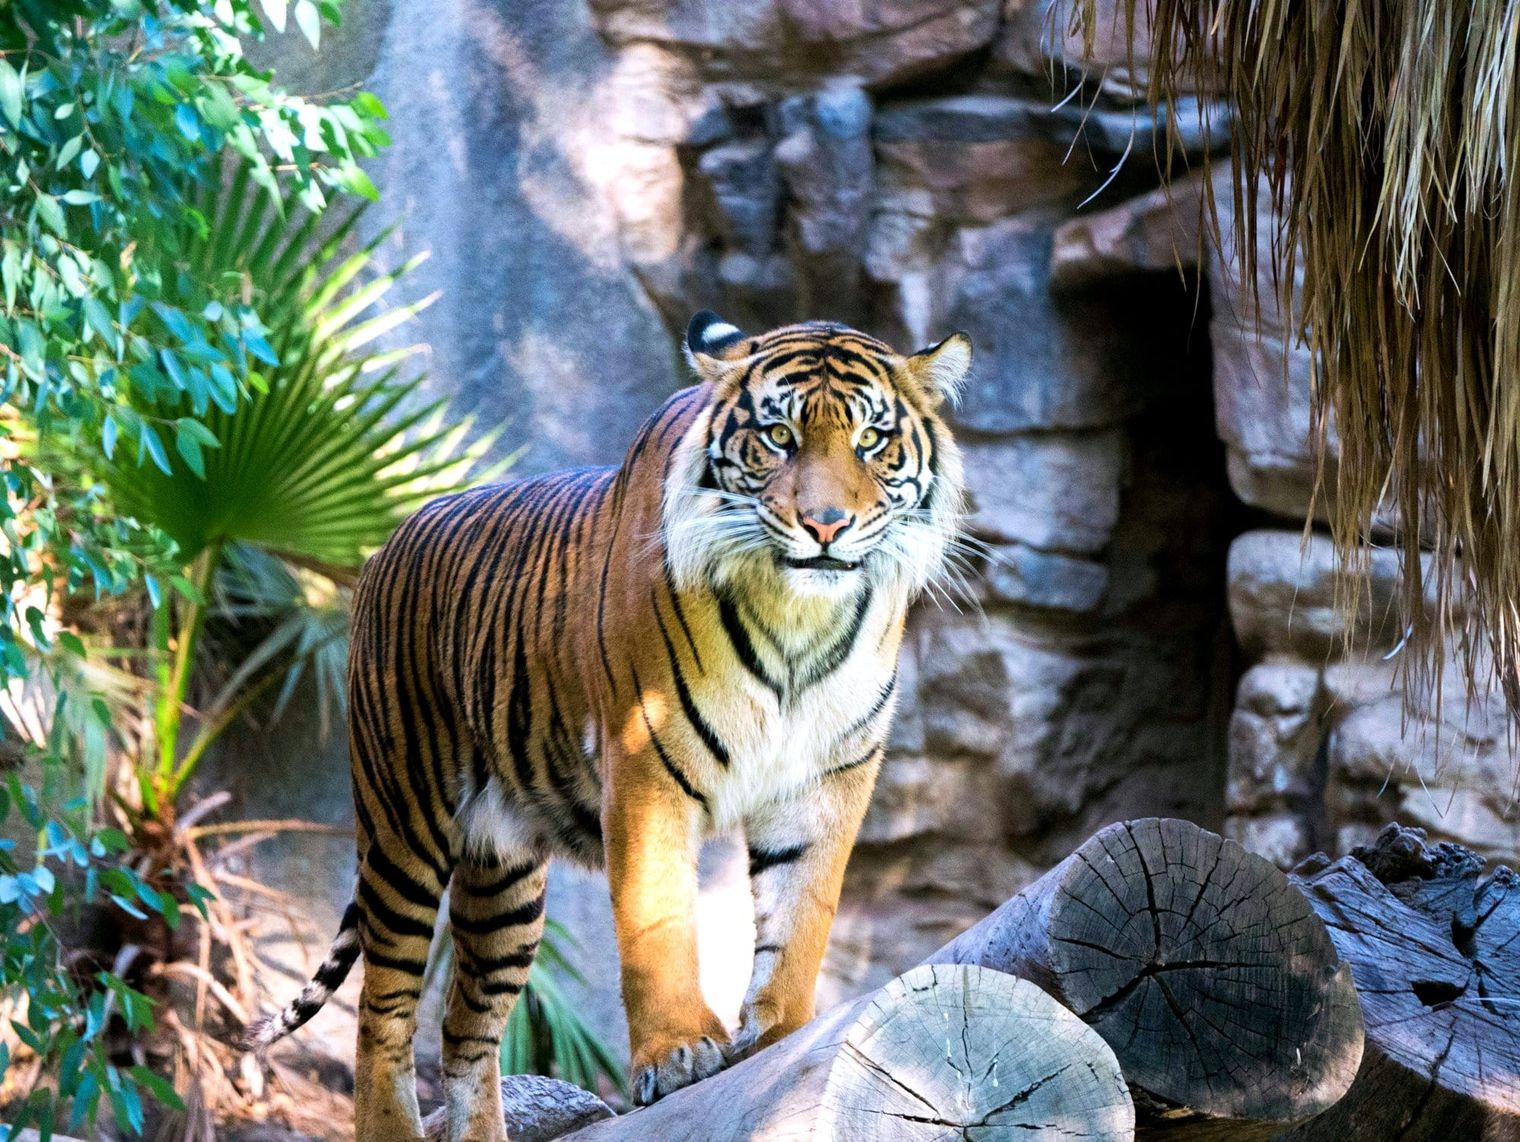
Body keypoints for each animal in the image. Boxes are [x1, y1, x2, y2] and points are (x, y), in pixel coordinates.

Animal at [246, 312, 971, 1141]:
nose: (826, 525)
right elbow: (658, 919)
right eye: (779, 436)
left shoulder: (828, 778)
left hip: (504, 881)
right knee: (383, 1010)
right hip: (404, 824)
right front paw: (679, 1051)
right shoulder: (647, 759)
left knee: (465, 1028)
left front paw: (783, 1037)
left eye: (872, 440)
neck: (799, 615)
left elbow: (802, 915)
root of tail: (380, 550)